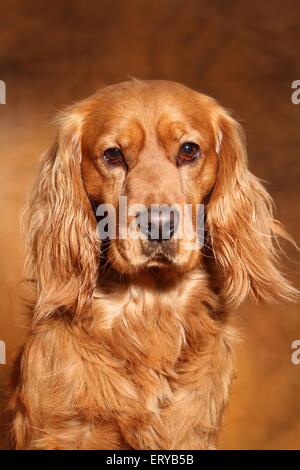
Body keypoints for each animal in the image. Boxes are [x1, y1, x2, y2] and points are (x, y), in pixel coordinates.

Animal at [5, 79, 298, 450]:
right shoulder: (63, 432)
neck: (148, 307)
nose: (158, 224)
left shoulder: (190, 433)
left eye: (188, 150)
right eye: (113, 154)